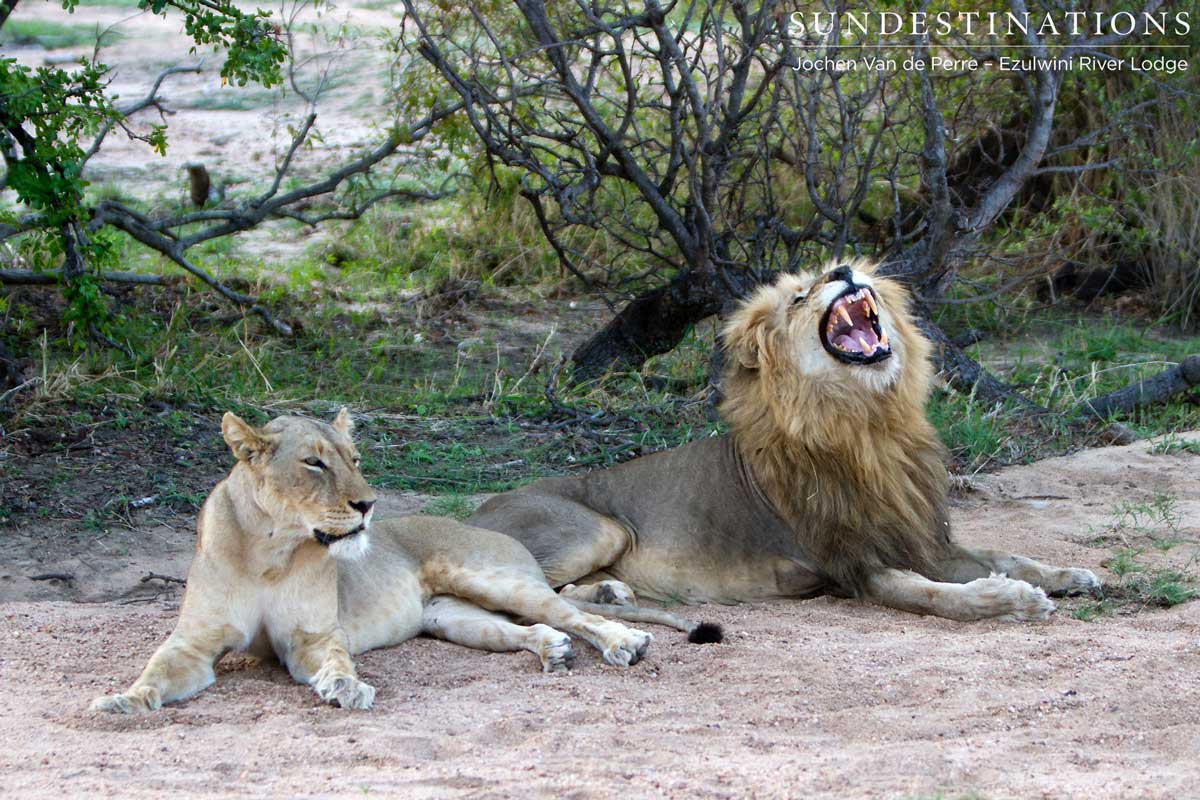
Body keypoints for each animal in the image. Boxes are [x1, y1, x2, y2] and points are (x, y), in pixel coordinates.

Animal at [93, 409, 717, 714]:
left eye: (353, 458)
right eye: (314, 463)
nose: (368, 504)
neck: (270, 549)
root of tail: (479, 526)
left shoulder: (312, 639)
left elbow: (336, 663)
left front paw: (346, 689)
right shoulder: (194, 644)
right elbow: (156, 672)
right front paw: (124, 701)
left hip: (490, 578)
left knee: (571, 613)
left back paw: (623, 641)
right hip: (454, 617)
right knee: (536, 627)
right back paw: (554, 653)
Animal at [469, 261, 1101, 621]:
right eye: (799, 297)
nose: (845, 268)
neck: (866, 420)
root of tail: (476, 510)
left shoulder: (915, 534)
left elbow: (1007, 555)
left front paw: (1069, 575)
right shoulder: (853, 563)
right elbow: (933, 594)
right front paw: (1008, 600)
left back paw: (608, 595)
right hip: (601, 528)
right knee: (506, 586)